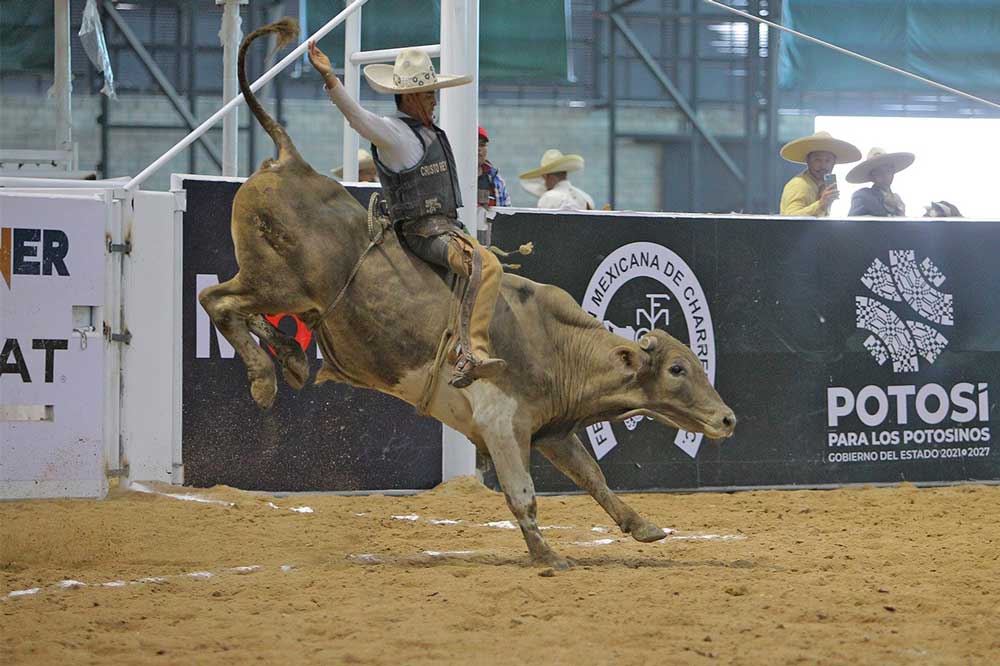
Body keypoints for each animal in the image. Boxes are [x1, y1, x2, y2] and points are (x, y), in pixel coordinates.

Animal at [201, 19, 736, 564]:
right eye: (676, 369)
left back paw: (289, 357)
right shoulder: (502, 423)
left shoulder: (553, 431)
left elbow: (594, 477)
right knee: (217, 301)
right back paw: (264, 380)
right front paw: (547, 556)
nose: (728, 418)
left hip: (288, 295)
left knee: (246, 313)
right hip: (277, 282)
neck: (552, 343)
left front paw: (643, 525)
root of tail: (290, 162)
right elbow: (522, 493)